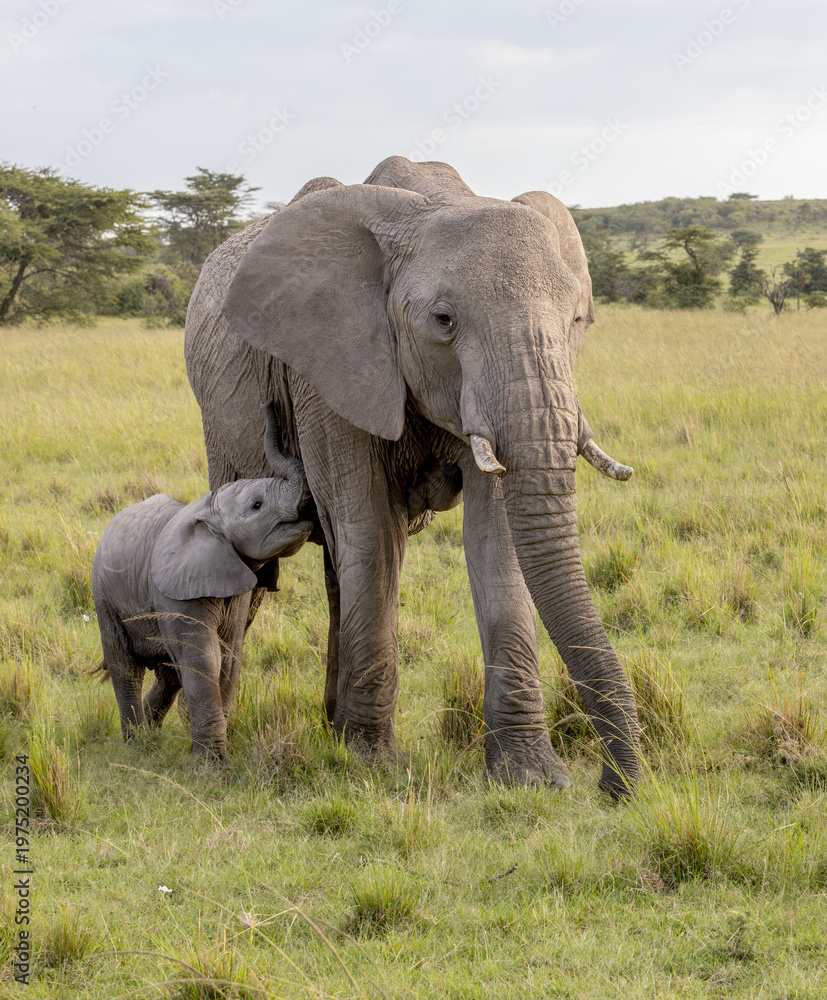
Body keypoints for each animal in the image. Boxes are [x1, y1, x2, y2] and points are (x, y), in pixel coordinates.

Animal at [91, 425, 312, 759]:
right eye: (257, 505)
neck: (209, 511)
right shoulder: (175, 590)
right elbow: (204, 657)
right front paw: (212, 762)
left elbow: (230, 655)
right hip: (103, 594)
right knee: (125, 666)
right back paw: (137, 744)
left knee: (168, 672)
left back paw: (151, 734)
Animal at [184, 155, 640, 794]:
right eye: (443, 320)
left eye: (577, 321)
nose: (613, 786)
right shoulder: (325, 368)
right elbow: (369, 530)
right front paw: (370, 765)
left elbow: (496, 540)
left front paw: (529, 777)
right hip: (220, 428)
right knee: (248, 581)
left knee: (337, 572)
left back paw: (331, 723)